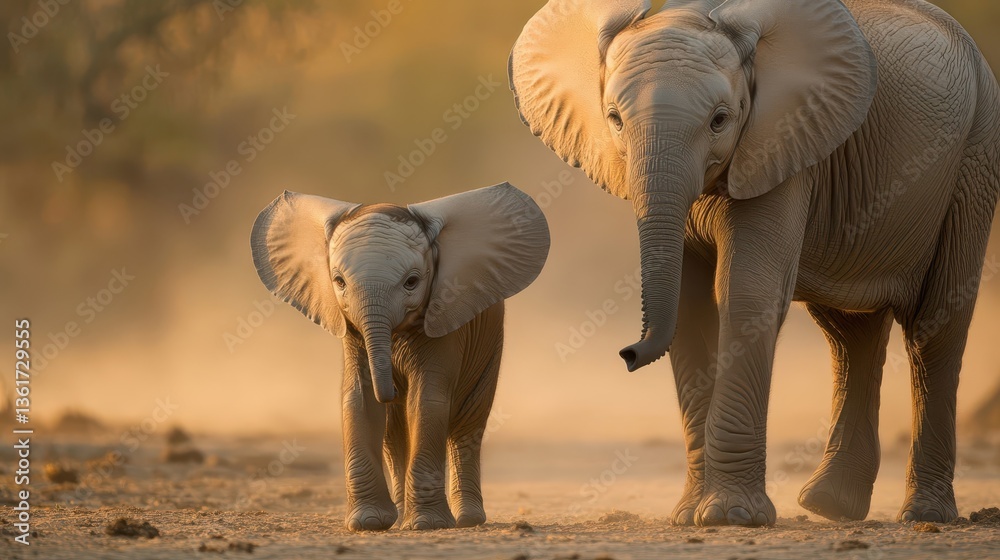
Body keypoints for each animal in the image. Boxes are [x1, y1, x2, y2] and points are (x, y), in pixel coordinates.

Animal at [250, 183, 550, 531]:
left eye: (412, 282)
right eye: (339, 282)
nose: (391, 388)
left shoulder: (444, 315)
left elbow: (427, 401)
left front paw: (428, 525)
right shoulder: (351, 330)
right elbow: (359, 398)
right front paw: (369, 522)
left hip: (489, 344)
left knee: (466, 425)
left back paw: (466, 520)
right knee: (395, 434)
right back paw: (403, 517)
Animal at [510, 0, 1000, 526]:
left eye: (720, 120)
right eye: (614, 119)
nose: (627, 354)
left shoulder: (784, 142)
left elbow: (745, 292)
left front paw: (731, 516)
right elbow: (691, 307)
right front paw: (690, 515)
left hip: (976, 157)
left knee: (935, 329)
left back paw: (924, 514)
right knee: (851, 334)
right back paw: (830, 507)